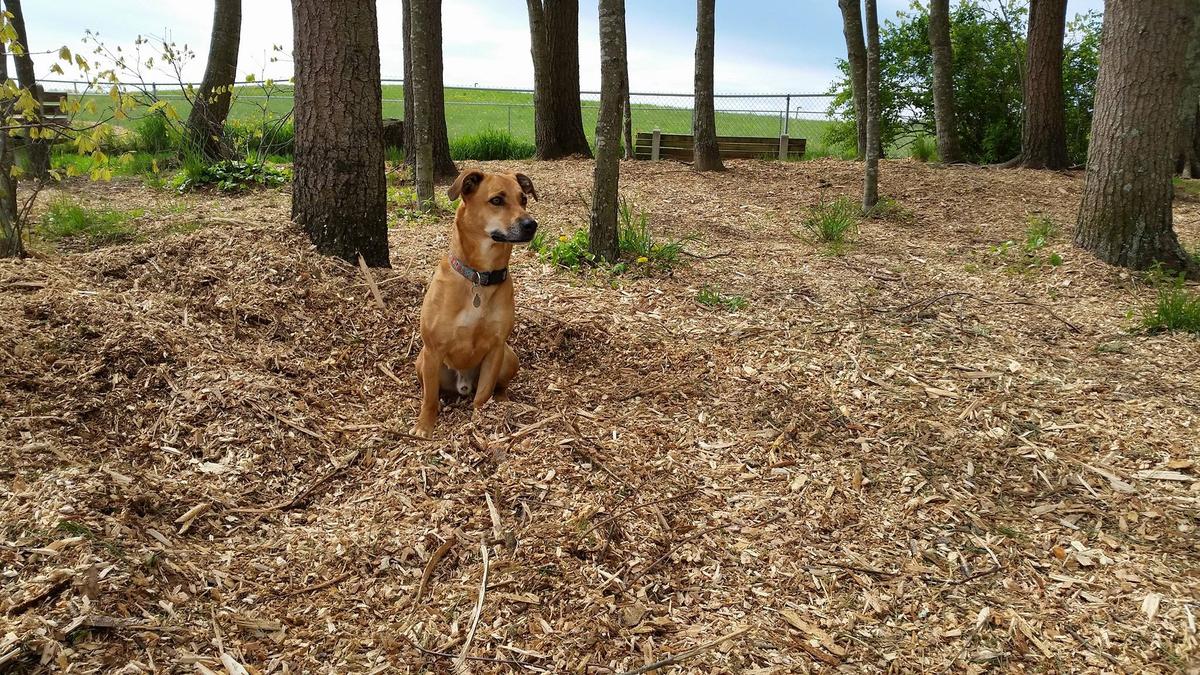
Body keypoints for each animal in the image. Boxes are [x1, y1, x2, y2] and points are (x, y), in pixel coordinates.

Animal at [415, 169, 542, 437]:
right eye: (497, 200)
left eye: (524, 199)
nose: (531, 224)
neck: (480, 278)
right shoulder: (433, 349)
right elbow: (429, 397)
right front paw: (424, 425)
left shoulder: (496, 348)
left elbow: (483, 394)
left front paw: (480, 421)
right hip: (422, 360)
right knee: (432, 389)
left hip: (510, 357)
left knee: (498, 387)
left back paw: (503, 401)